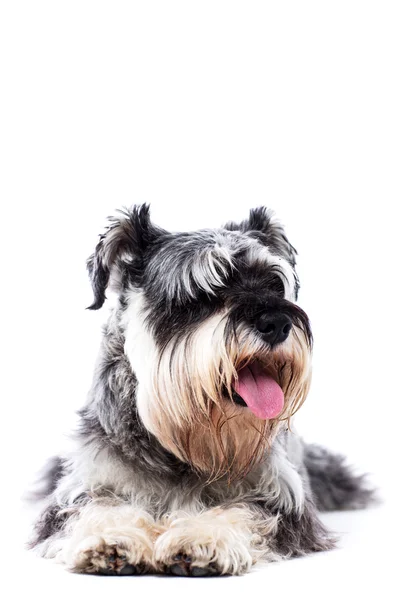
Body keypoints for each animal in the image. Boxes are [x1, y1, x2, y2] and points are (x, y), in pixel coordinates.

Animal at [29, 206, 374, 576]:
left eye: (275, 285)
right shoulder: (84, 485)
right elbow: (97, 508)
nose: (278, 323)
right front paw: (112, 539)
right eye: (202, 291)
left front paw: (201, 538)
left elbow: (244, 511)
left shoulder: (282, 497)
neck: (183, 445)